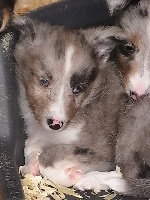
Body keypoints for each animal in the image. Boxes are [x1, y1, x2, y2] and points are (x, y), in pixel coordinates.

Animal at [12, 17, 126, 188]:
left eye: (78, 88)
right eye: (43, 81)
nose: (55, 124)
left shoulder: (102, 150)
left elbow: (47, 158)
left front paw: (71, 175)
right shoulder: (38, 134)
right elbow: (30, 145)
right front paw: (31, 165)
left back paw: (89, 180)